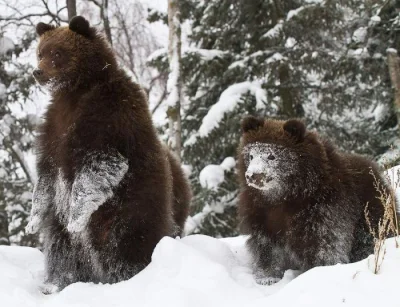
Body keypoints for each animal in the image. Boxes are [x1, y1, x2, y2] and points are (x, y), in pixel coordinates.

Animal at [25, 16, 191, 292]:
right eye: (40, 52)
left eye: (57, 53)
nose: (38, 72)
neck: (75, 91)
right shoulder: (53, 131)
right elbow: (46, 177)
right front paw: (33, 221)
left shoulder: (109, 118)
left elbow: (99, 166)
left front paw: (76, 217)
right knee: (62, 249)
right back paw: (57, 283)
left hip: (131, 208)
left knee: (125, 246)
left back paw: (126, 277)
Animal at [239, 116, 390, 286]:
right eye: (251, 155)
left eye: (271, 155)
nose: (253, 175)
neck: (285, 196)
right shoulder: (261, 212)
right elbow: (266, 245)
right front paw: (267, 276)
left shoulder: (322, 208)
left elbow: (324, 244)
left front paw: (317, 272)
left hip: (370, 208)